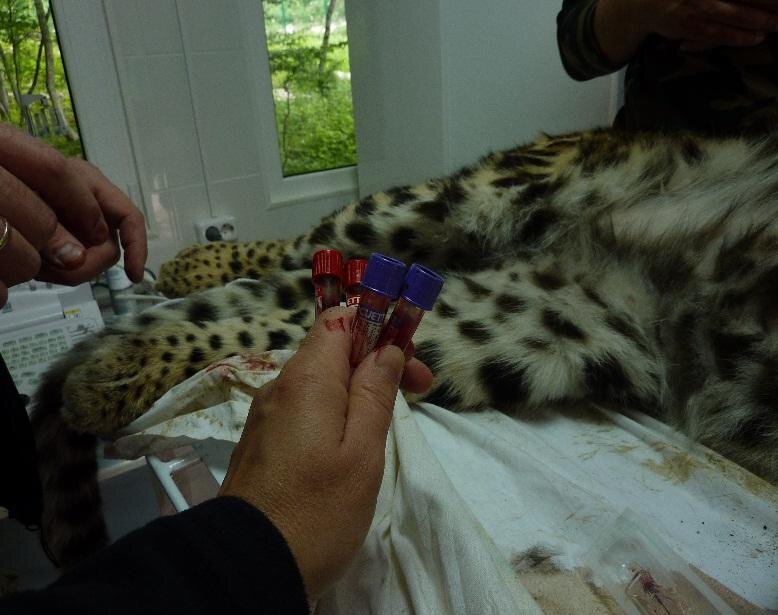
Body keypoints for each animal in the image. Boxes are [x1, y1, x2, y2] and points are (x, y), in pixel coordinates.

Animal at [32, 127, 778, 568]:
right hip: (471, 201)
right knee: (304, 249)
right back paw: (172, 291)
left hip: (525, 323)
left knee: (283, 310)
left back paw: (116, 368)